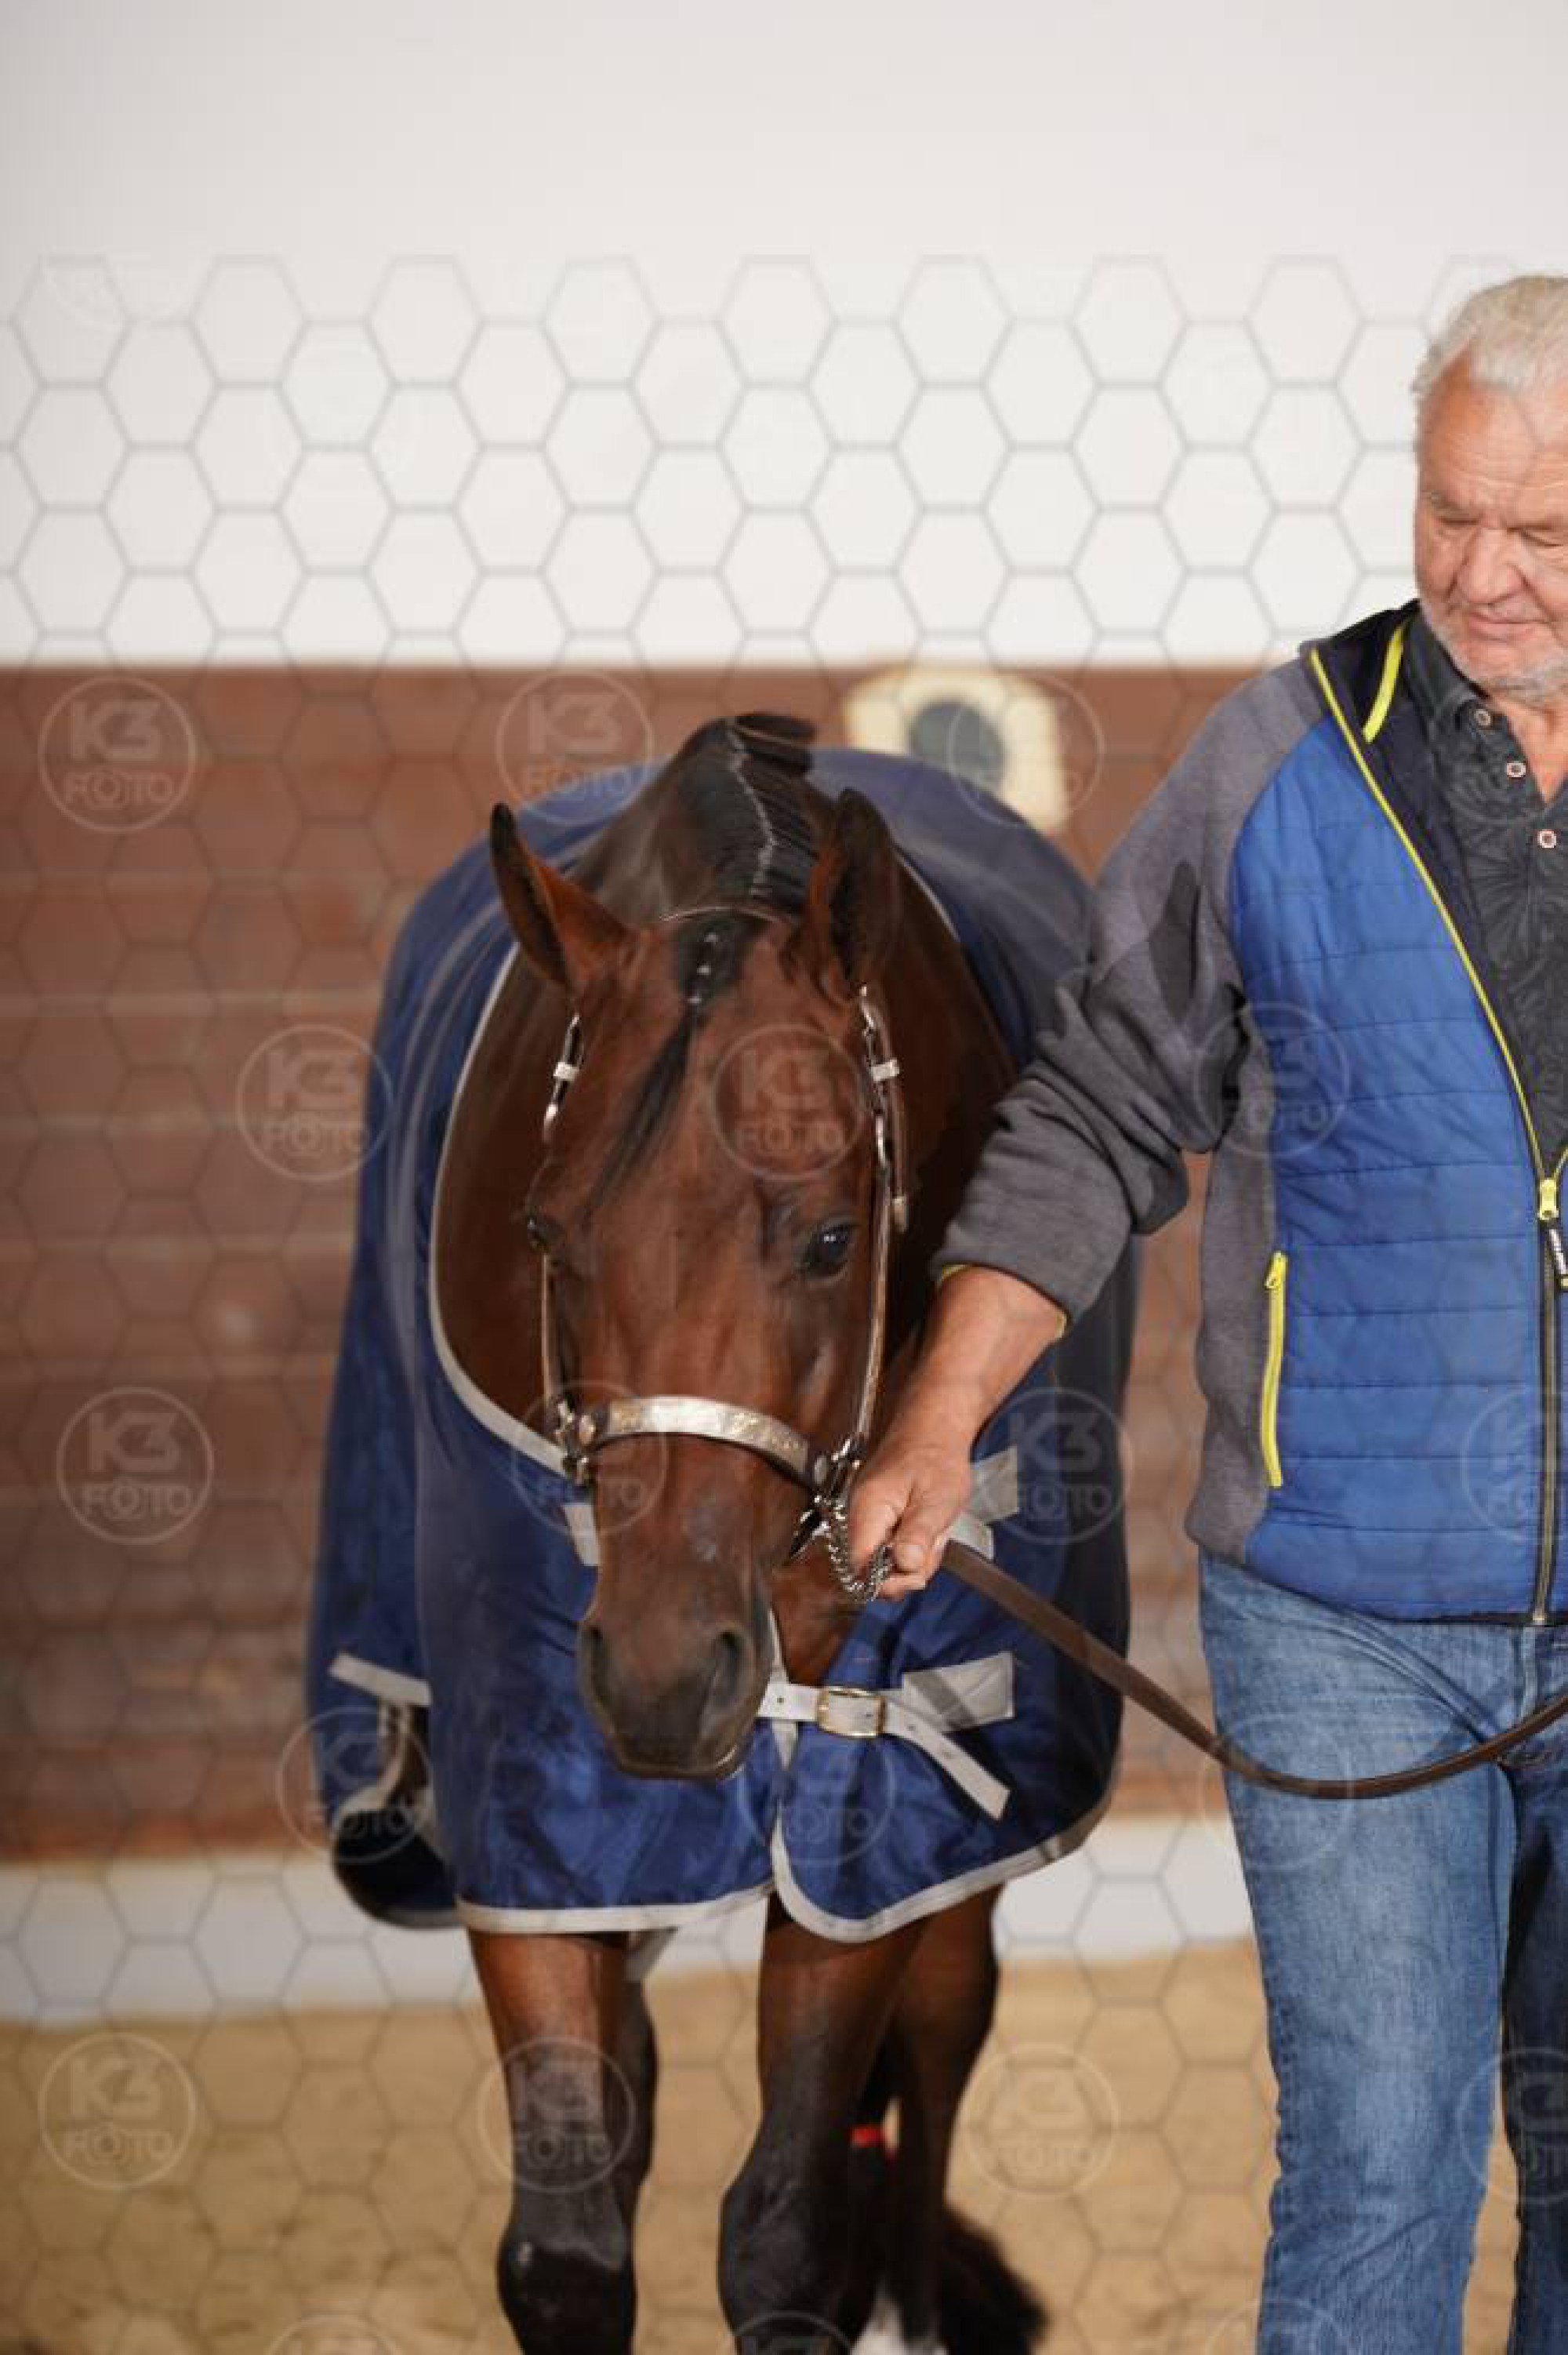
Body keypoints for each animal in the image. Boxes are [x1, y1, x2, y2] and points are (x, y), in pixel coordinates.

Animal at [309, 710, 1136, 2353]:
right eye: (548, 1232)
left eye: (828, 1234)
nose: (664, 1673)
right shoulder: (534, 1765)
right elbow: (568, 2235)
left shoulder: (878, 1772)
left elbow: (787, 2225)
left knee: (941, 2030)